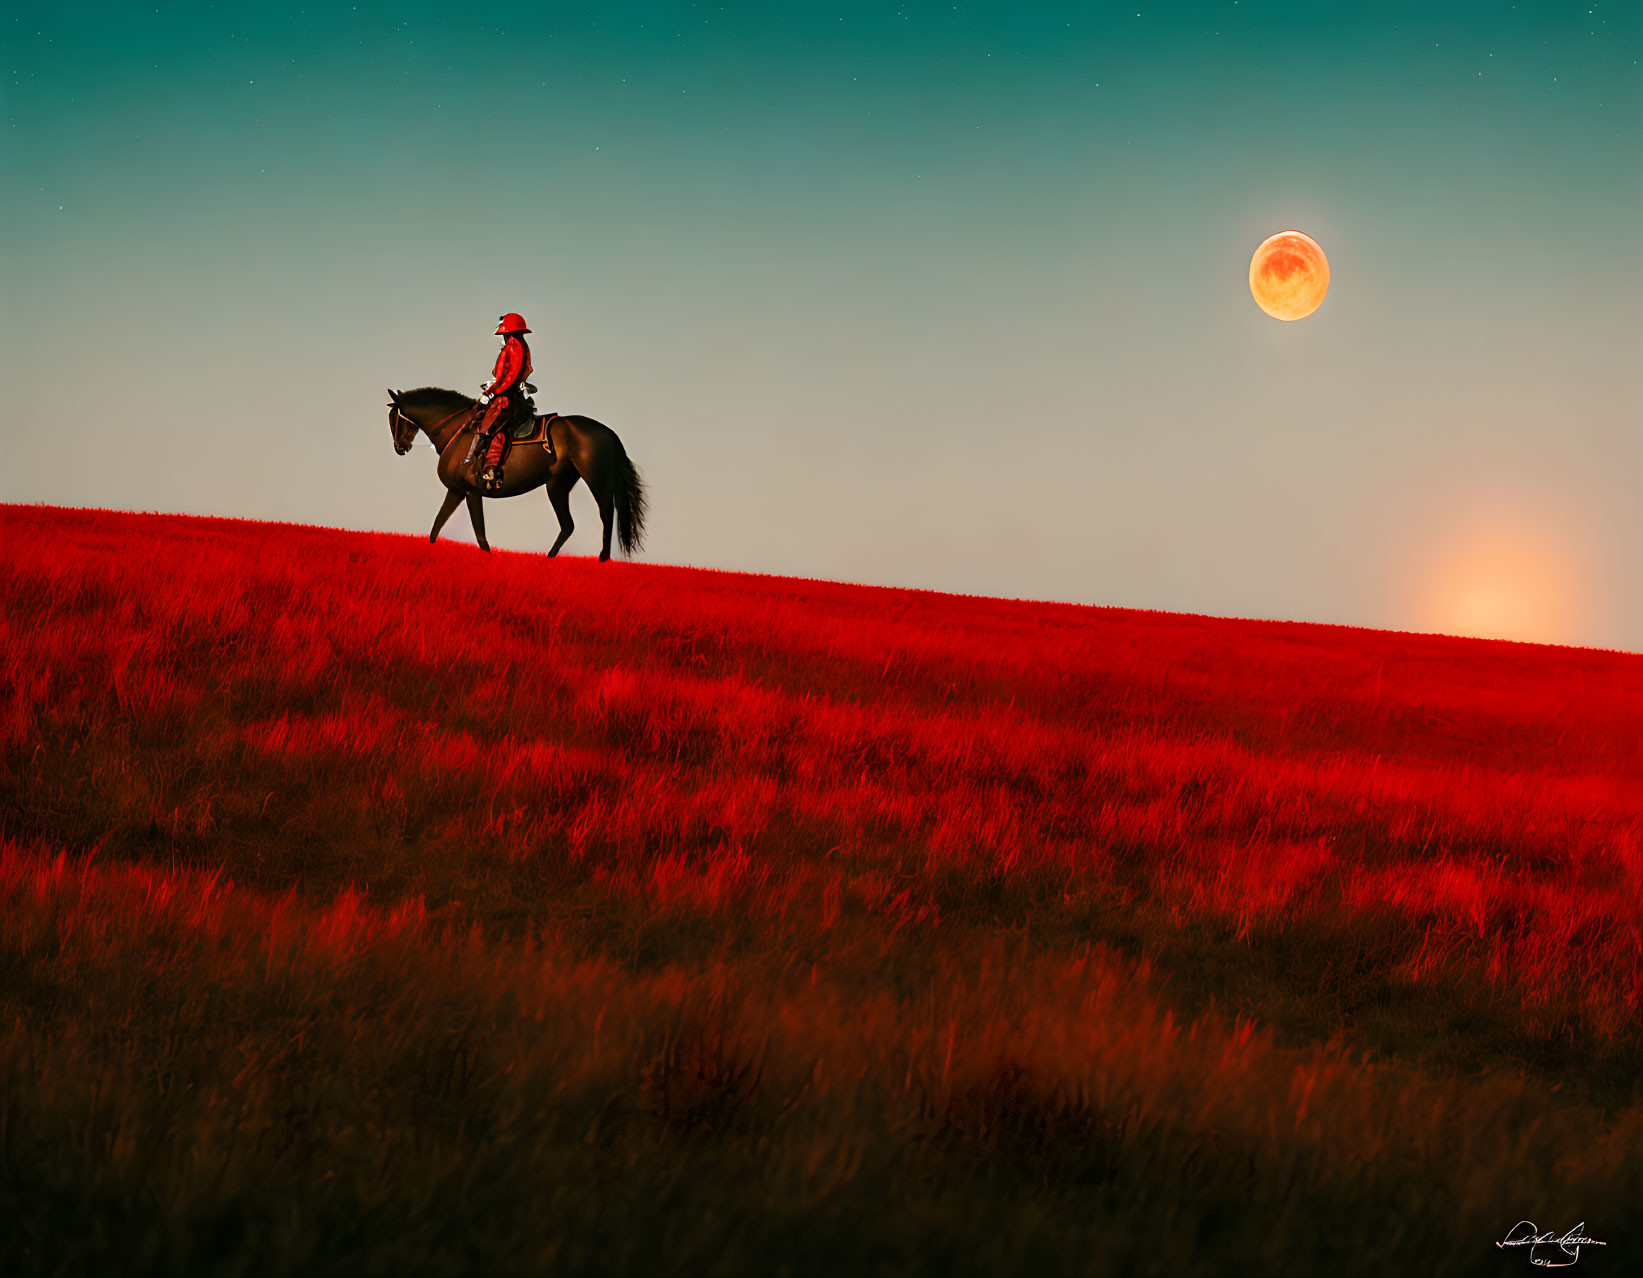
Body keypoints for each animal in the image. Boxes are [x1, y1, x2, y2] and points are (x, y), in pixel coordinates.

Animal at [382, 381, 640, 555]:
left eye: (394, 417)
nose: (399, 447)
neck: (459, 431)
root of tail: (607, 431)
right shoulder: (456, 491)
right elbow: (437, 526)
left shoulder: (470, 492)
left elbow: (480, 535)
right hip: (557, 484)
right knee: (568, 525)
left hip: (595, 479)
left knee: (606, 513)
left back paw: (602, 559)